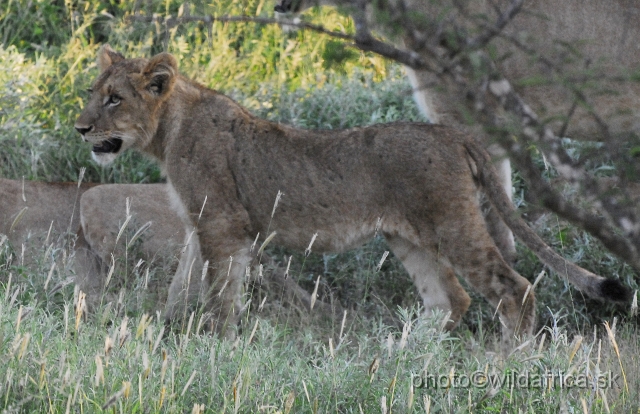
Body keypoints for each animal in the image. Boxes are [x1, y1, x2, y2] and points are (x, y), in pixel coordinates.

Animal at [75, 46, 632, 342]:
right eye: (91, 94)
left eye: (115, 99)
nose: (79, 128)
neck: (169, 129)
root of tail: (450, 134)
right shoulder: (201, 225)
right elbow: (181, 287)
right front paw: (165, 335)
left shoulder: (222, 225)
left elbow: (219, 295)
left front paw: (217, 344)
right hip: (407, 238)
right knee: (450, 298)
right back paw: (405, 354)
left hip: (453, 226)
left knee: (513, 288)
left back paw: (510, 360)